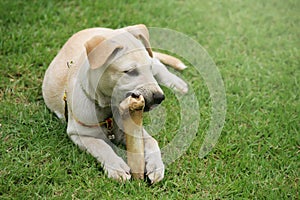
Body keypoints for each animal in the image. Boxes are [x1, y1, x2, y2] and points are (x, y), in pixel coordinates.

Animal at [42, 24, 188, 184]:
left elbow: (152, 141)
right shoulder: (79, 134)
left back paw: (177, 83)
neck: (107, 107)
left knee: (159, 64)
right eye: (130, 71)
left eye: (147, 68)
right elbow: (101, 146)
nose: (160, 97)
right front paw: (117, 167)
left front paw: (156, 166)